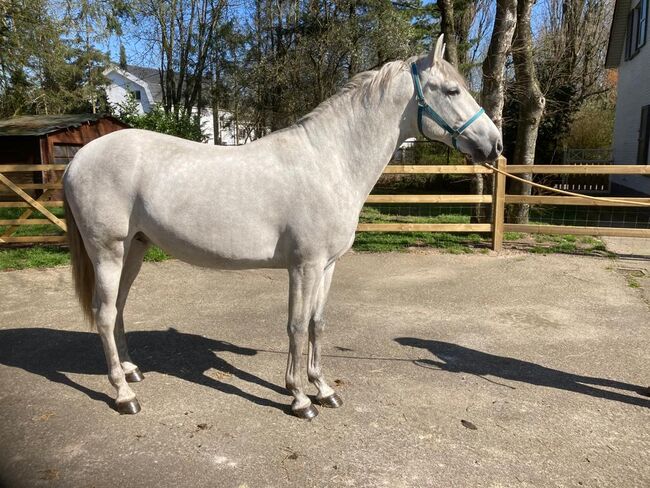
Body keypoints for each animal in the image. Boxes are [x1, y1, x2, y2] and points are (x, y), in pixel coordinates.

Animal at [64, 36, 502, 420]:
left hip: (135, 248)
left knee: (118, 307)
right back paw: (123, 393)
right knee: (104, 313)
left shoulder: (327, 266)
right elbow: (295, 325)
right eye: (451, 90)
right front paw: (299, 398)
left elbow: (317, 324)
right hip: (108, 251)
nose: (494, 144)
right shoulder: (303, 266)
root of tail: (79, 158)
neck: (330, 162)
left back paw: (132, 370)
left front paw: (323, 389)